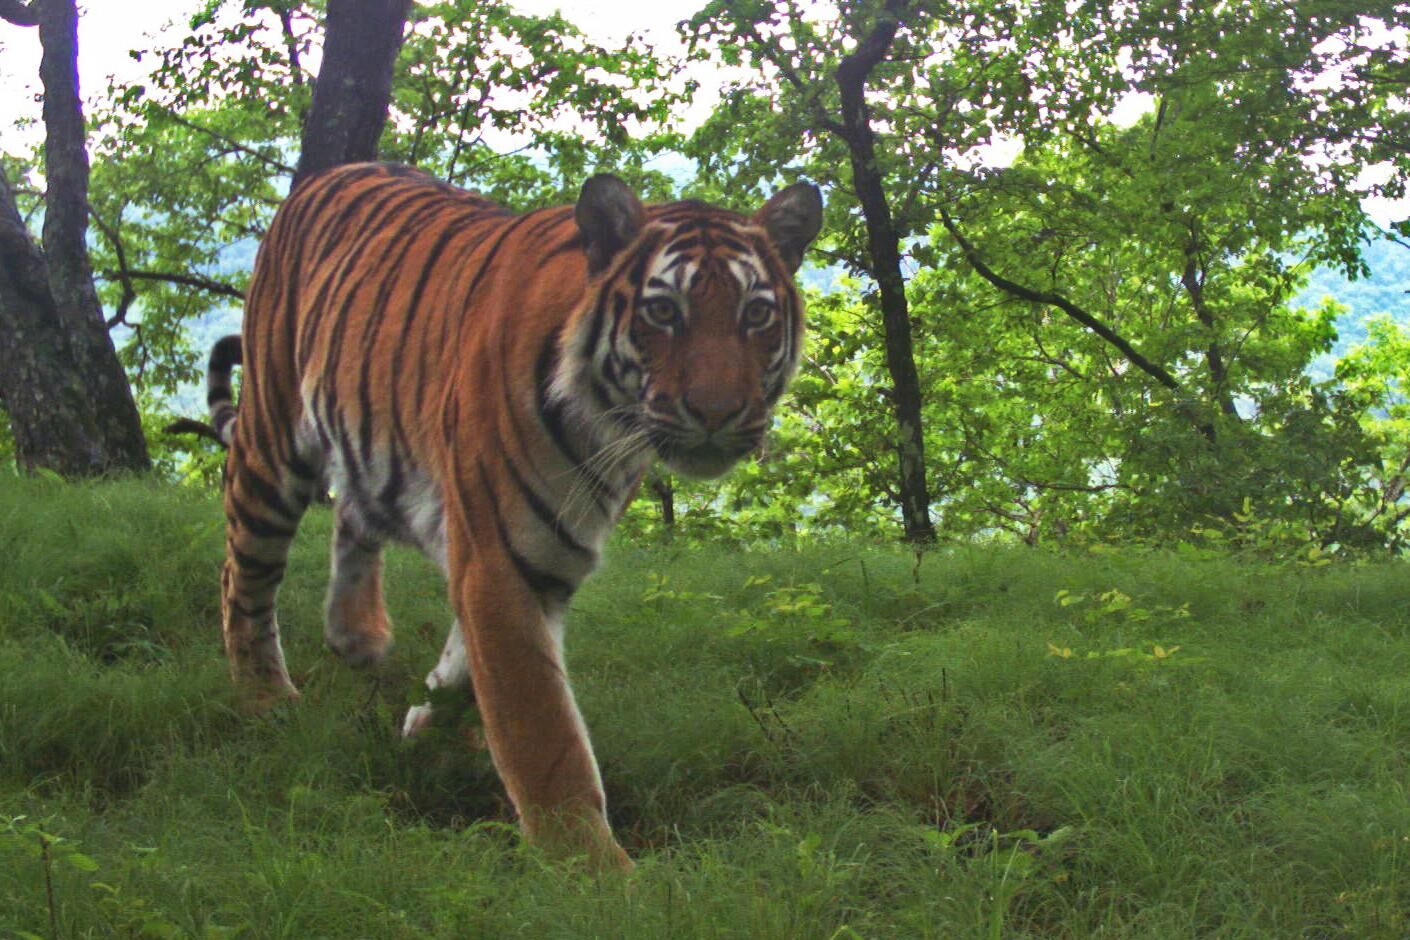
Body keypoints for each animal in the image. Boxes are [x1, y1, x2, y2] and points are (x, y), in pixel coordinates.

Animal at [212, 159, 823, 868]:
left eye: (756, 313)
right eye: (663, 311)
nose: (718, 412)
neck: (609, 425)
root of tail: (330, 174)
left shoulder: (542, 551)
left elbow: (467, 668)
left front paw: (432, 733)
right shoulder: (502, 560)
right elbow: (543, 729)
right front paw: (594, 870)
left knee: (354, 513)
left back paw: (357, 635)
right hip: (271, 435)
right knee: (244, 574)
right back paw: (263, 696)